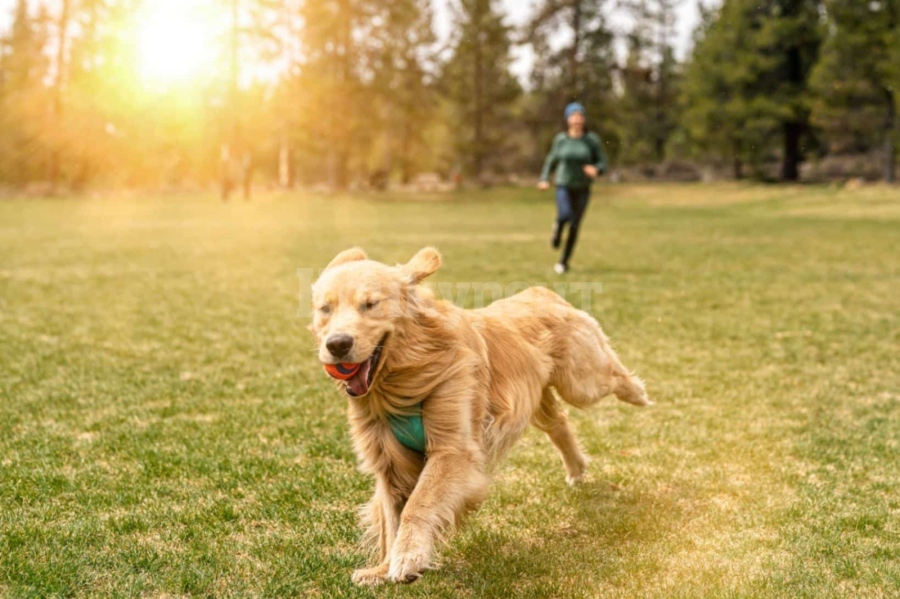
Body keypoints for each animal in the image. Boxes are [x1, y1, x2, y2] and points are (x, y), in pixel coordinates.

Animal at [310, 247, 648, 584]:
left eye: (370, 304)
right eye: (325, 309)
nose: (337, 345)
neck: (401, 383)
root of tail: (542, 292)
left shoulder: (453, 450)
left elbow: (417, 504)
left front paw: (407, 557)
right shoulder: (389, 461)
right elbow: (390, 516)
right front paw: (382, 567)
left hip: (580, 381)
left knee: (611, 376)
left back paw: (637, 392)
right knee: (559, 423)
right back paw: (576, 469)